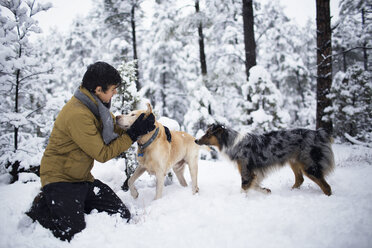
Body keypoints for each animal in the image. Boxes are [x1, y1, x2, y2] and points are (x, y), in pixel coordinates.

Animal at [195, 124, 334, 196]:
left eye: (208, 134)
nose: (196, 140)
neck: (231, 142)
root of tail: (318, 133)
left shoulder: (246, 170)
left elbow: (244, 187)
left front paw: (242, 199)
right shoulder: (254, 172)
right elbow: (255, 185)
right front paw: (265, 190)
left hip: (309, 165)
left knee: (326, 187)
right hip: (294, 161)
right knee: (300, 179)